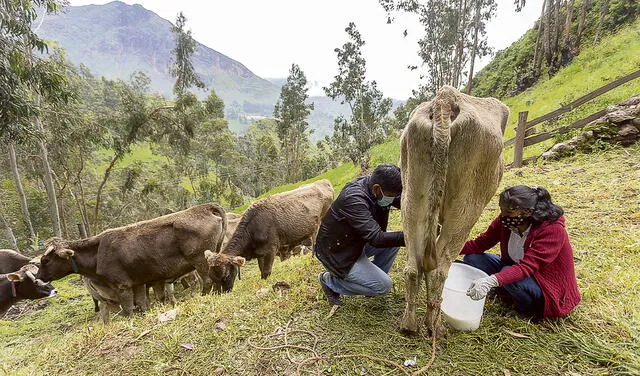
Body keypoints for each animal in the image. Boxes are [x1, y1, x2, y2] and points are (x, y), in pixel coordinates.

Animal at [36, 204, 228, 316]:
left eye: (45, 260)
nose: (37, 279)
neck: (97, 252)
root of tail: (204, 207)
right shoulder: (139, 284)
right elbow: (143, 304)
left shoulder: (122, 286)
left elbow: (128, 309)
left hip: (200, 260)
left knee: (207, 280)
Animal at [208, 178, 336, 290]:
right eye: (212, 277)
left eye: (226, 276)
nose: (224, 292)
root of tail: (323, 181)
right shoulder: (261, 253)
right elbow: (262, 272)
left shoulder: (270, 250)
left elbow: (266, 272)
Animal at [400, 86, 510, 334]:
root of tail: (445, 99)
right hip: (466, 208)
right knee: (440, 270)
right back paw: (435, 327)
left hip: (412, 196)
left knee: (414, 267)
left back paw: (409, 326)